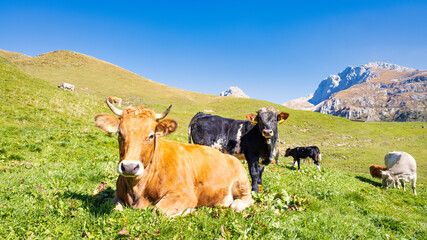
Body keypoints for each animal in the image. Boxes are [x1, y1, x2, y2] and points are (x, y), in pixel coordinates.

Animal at [94, 100, 254, 218]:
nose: (129, 167)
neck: (137, 189)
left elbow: (158, 210)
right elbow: (113, 206)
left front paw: (189, 210)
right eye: (120, 133)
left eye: (151, 135)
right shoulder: (117, 196)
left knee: (247, 198)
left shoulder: (185, 195)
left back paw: (236, 204)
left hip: (242, 179)